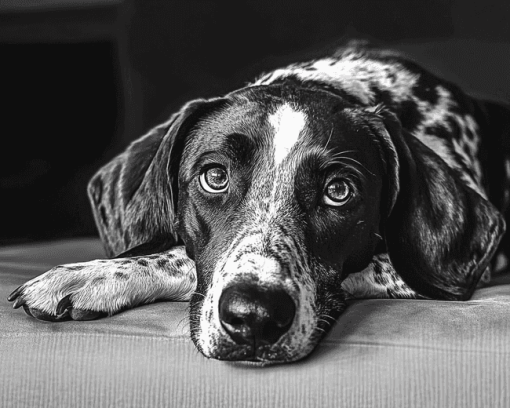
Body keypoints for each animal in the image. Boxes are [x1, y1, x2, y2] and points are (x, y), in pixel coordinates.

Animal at [7, 43, 510, 364]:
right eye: (214, 176)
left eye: (339, 191)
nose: (255, 318)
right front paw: (99, 271)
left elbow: (181, 256)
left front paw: (90, 276)